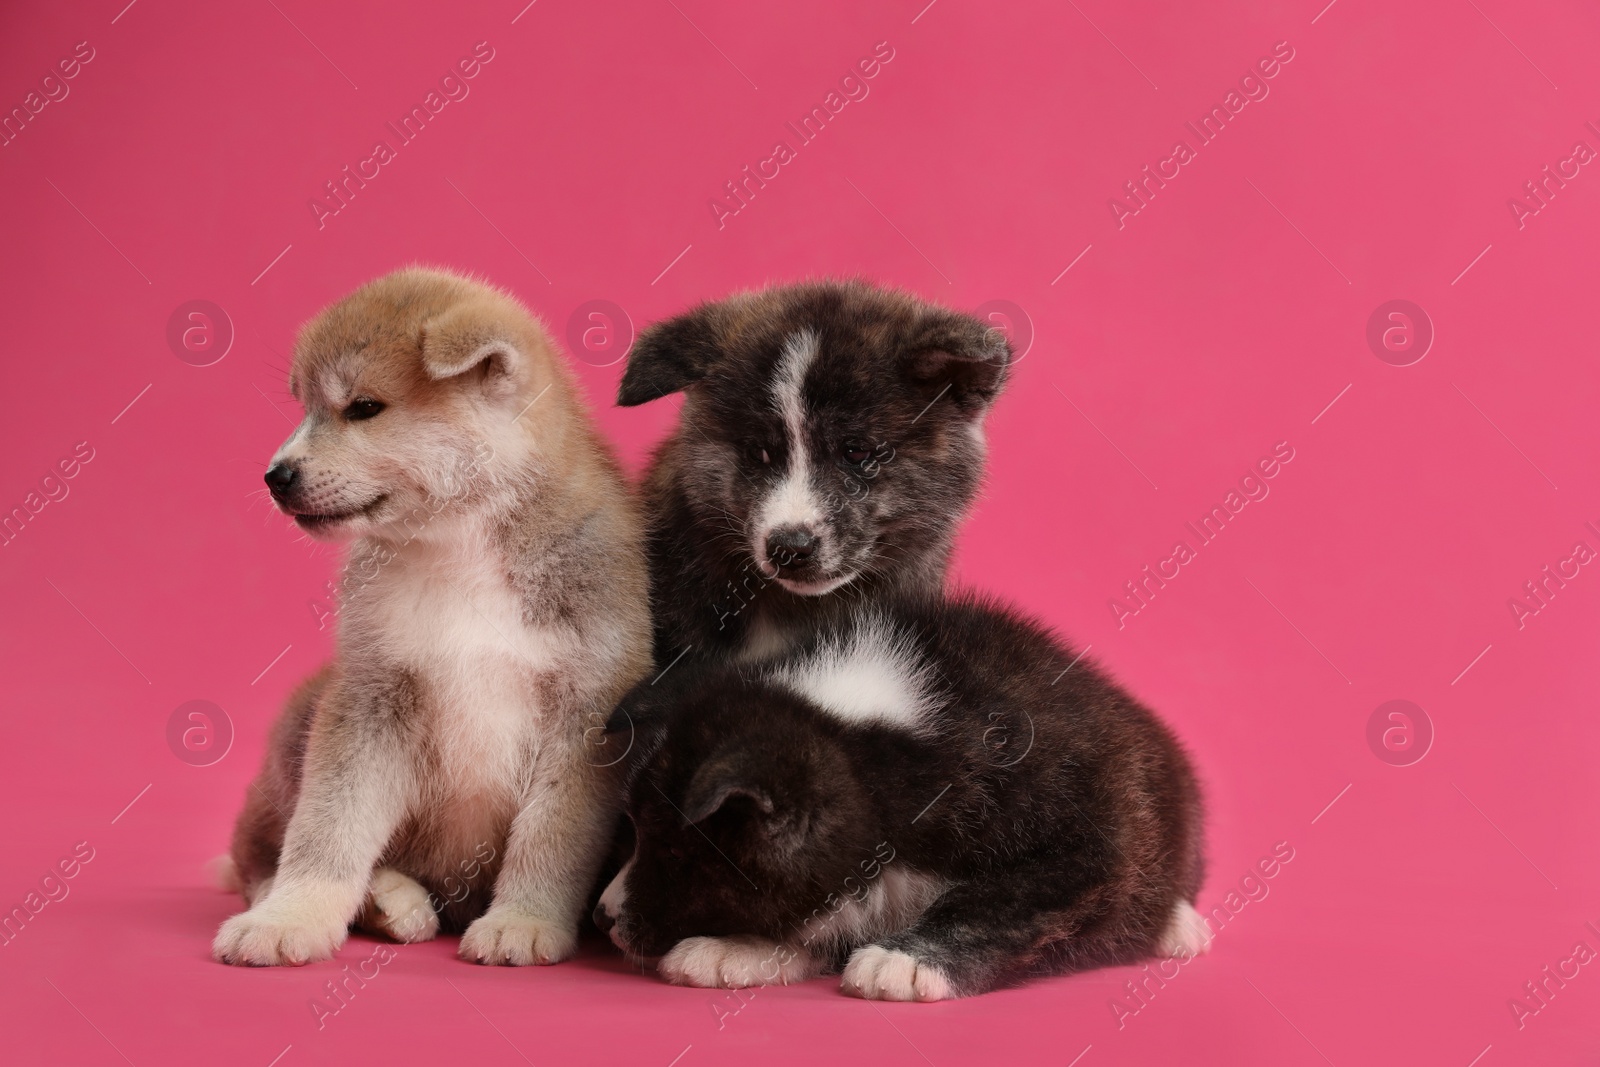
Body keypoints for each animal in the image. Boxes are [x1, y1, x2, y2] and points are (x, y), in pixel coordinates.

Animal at [212, 267, 649, 966]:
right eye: (305, 408)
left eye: (364, 408)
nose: (275, 476)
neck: (459, 551)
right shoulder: (371, 694)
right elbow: (325, 832)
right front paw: (291, 917)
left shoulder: (586, 713)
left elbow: (549, 840)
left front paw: (523, 921)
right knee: (259, 857)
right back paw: (387, 901)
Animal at [595, 598, 1203, 998]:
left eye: (676, 855)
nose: (601, 917)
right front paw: (739, 947)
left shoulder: (1087, 837)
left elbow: (1005, 901)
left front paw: (906, 959)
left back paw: (1179, 923)